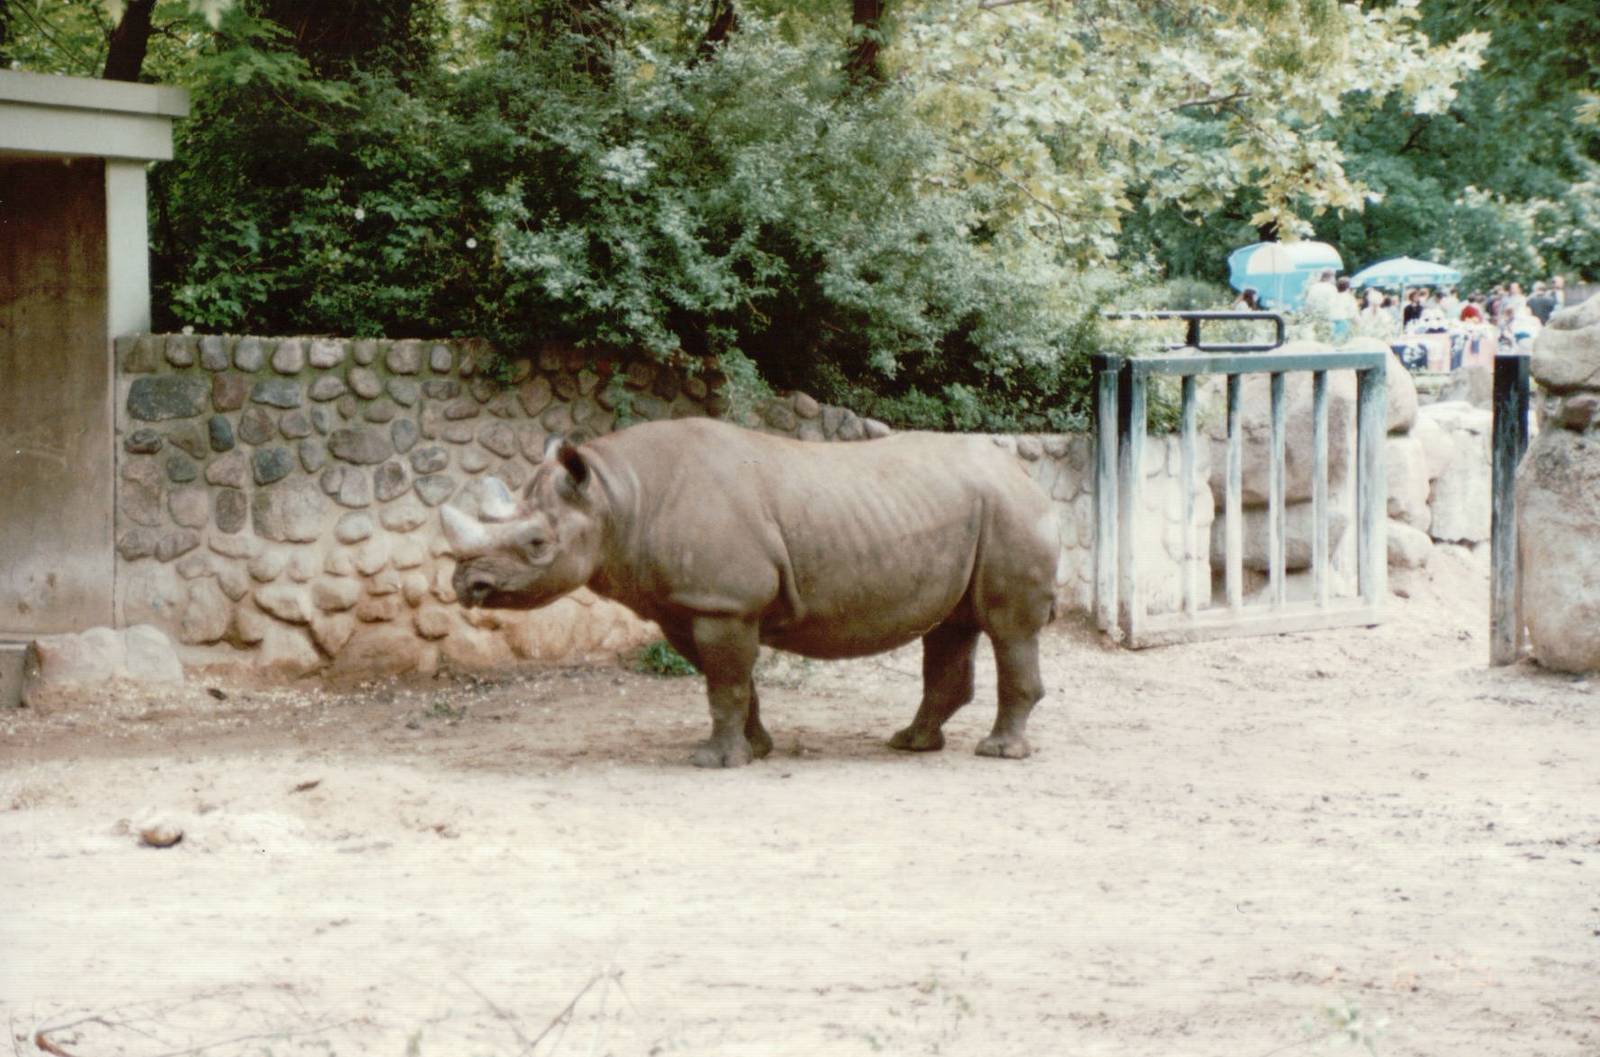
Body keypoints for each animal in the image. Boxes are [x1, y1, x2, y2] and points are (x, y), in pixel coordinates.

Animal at [441, 418, 1057, 768]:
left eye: (536, 543)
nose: (467, 585)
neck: (617, 499)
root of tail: (1026, 476)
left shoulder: (724, 602)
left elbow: (727, 683)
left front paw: (714, 762)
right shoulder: (687, 606)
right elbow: (734, 684)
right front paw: (757, 749)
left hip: (1010, 512)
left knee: (1008, 628)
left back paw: (998, 753)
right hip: (974, 510)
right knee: (953, 625)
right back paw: (909, 743)